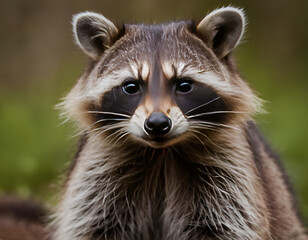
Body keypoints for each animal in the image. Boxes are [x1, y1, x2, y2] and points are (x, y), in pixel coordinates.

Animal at [53, 6, 308, 240]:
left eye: (184, 85)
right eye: (131, 86)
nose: (157, 123)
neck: (161, 154)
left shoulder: (231, 175)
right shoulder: (97, 176)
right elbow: (90, 225)